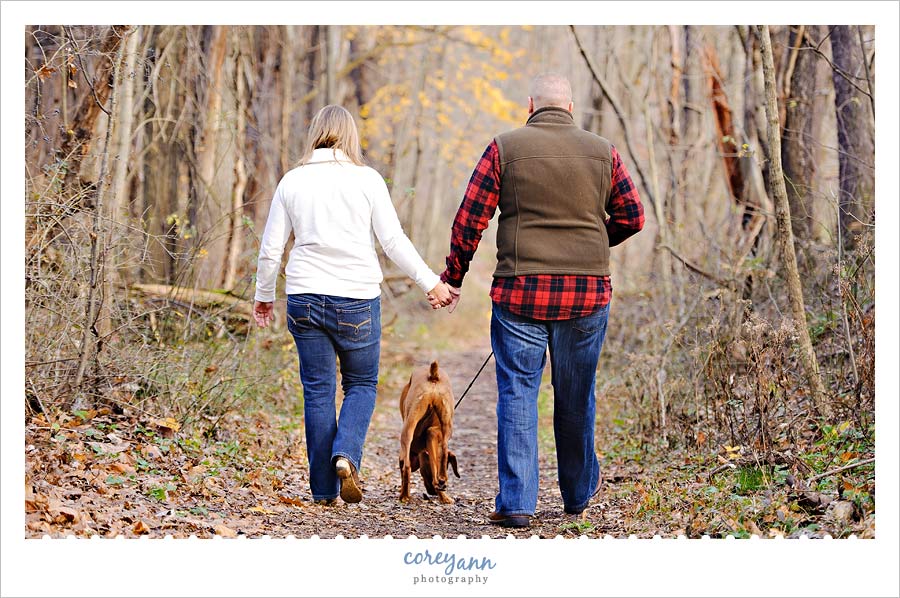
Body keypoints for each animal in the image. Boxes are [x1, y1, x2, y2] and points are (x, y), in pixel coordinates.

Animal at [400, 360, 460, 506]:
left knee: (407, 467)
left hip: (408, 428)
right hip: (447, 425)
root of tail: (433, 376)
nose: (432, 491)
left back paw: (404, 496)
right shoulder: (433, 435)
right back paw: (442, 478)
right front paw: (444, 496)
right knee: (444, 448)